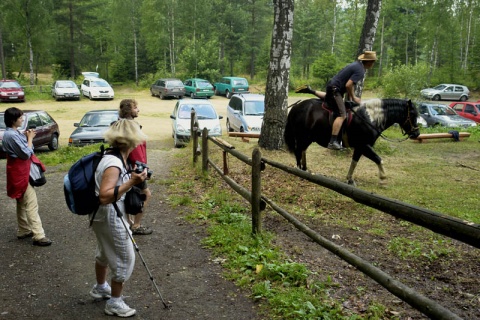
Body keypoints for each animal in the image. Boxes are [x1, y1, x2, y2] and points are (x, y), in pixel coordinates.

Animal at [284, 99, 420, 186]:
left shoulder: (360, 148)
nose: (416, 134)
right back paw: (299, 170)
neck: (369, 118)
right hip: (302, 137)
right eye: (413, 114)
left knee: (302, 151)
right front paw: (383, 179)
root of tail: (296, 107)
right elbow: (378, 159)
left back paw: (304, 169)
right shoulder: (364, 145)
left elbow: (354, 162)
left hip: (307, 138)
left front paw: (350, 179)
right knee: (298, 151)